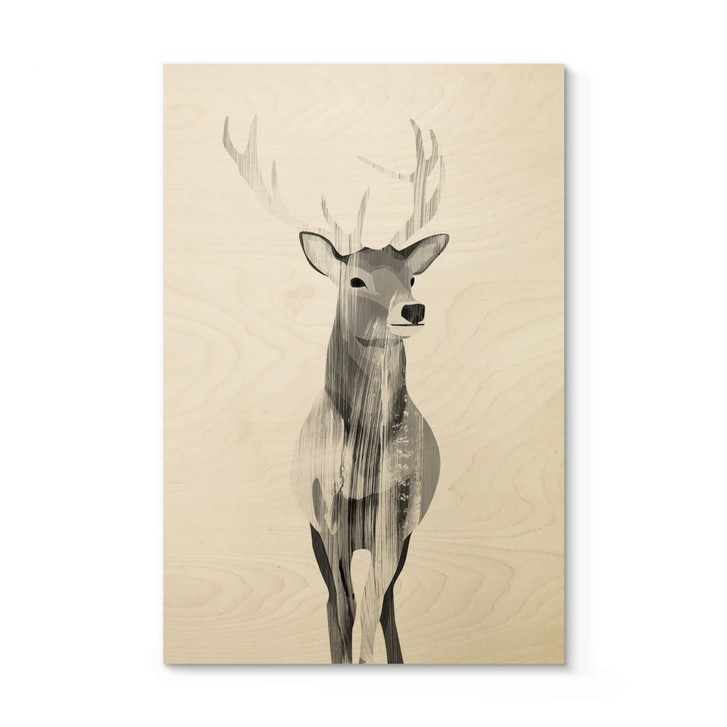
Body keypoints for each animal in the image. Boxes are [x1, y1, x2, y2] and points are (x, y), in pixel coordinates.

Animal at [223, 116, 449, 663]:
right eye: (356, 280)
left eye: (412, 277)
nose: (412, 310)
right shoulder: (324, 515)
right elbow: (343, 606)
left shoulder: (397, 516)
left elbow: (371, 604)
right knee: (337, 600)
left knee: (385, 603)